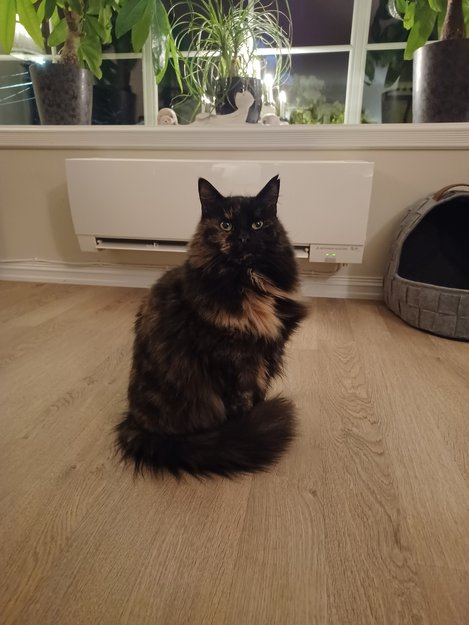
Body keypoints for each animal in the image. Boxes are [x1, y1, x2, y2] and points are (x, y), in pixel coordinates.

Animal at [115, 174, 308, 478]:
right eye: (225, 224)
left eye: (257, 224)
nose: (242, 237)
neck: (249, 283)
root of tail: (136, 424)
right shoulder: (232, 362)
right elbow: (242, 403)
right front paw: (248, 429)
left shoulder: (264, 356)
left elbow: (259, 394)